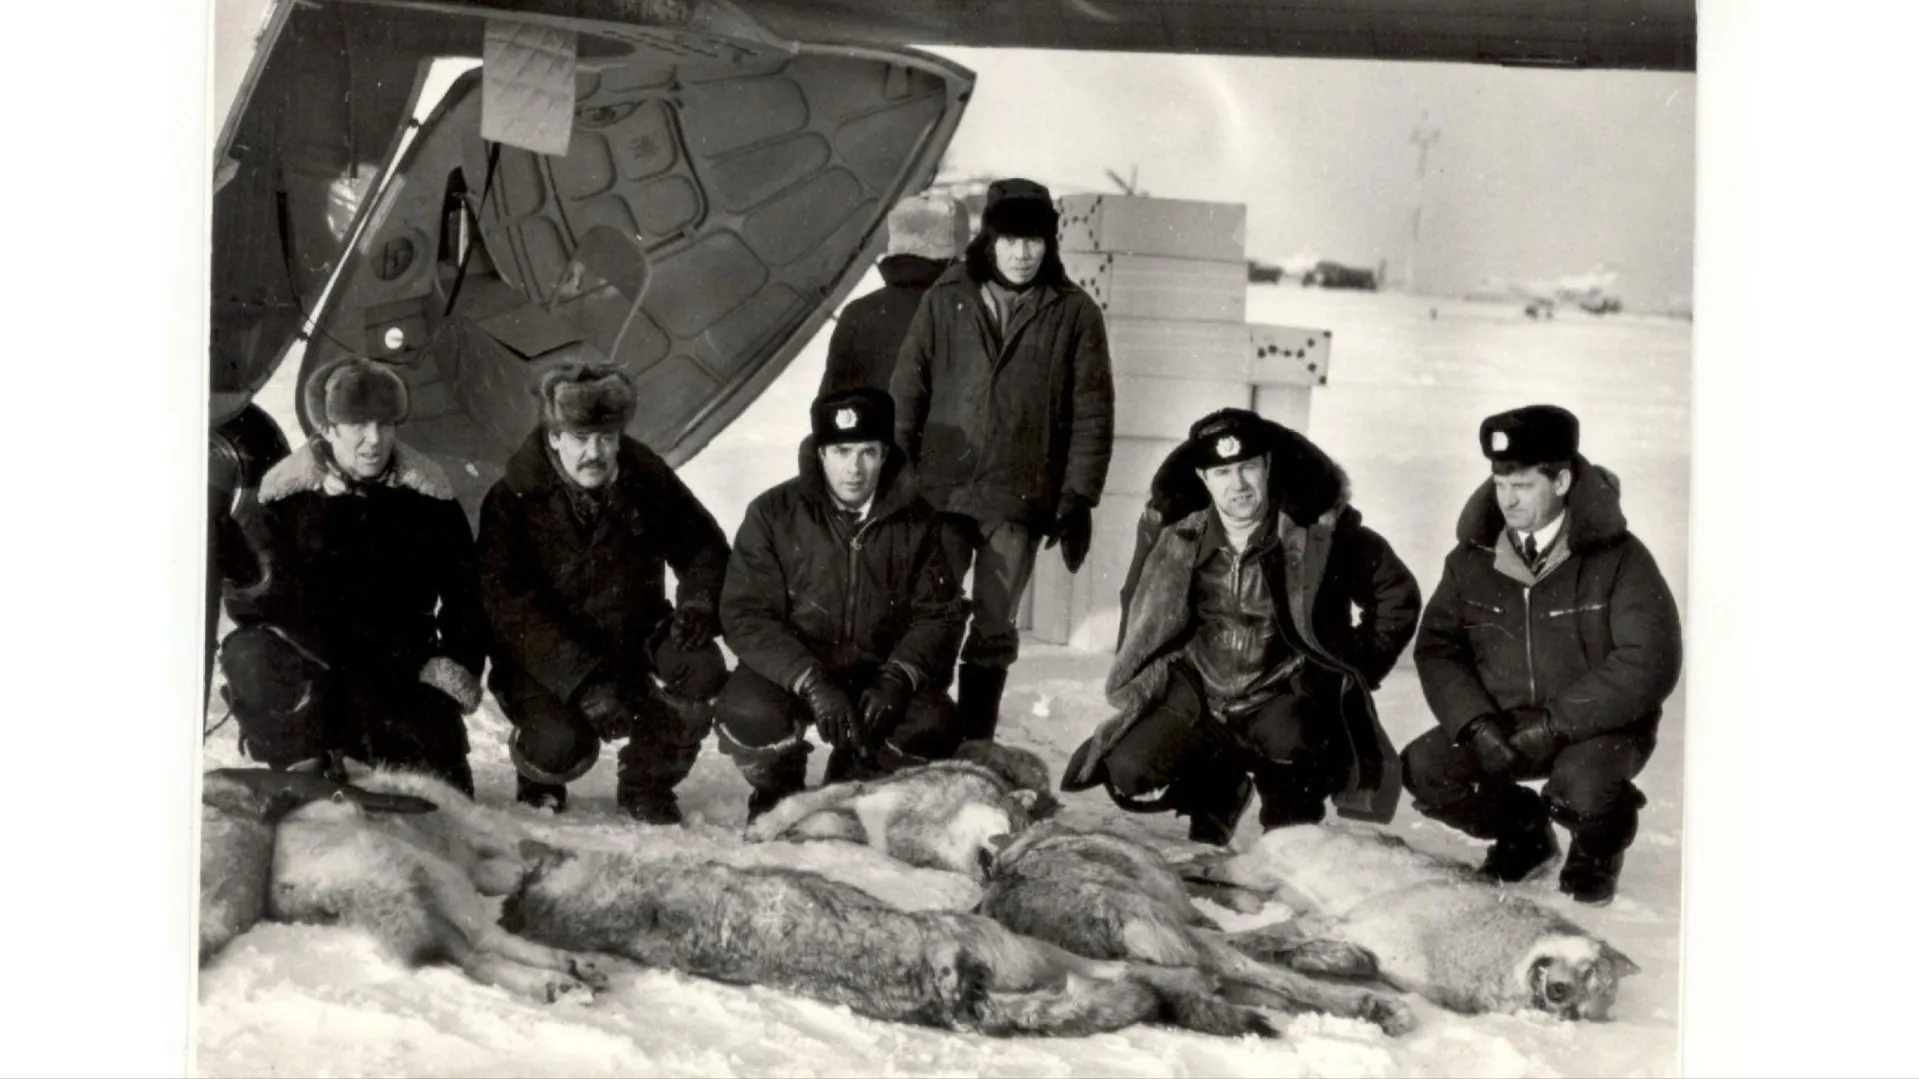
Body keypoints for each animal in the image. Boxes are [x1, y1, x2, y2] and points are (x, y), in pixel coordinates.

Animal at [262, 756, 617, 998]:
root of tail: (310, 890)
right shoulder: (479, 835)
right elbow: (521, 849)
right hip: (436, 875)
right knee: (487, 939)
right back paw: (566, 969)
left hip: (421, 903)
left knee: (475, 958)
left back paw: (560, 982)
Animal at [736, 733, 1066, 879]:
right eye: (1009, 830)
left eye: (1024, 853)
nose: (998, 876)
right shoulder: (858, 792)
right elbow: (798, 803)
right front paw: (764, 828)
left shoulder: (862, 826)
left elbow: (822, 822)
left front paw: (792, 833)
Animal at [982, 814, 1420, 1036]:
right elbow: (1258, 944)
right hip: (1183, 943)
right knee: (1262, 974)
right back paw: (1375, 1003)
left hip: (1170, 960)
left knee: (1247, 983)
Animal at [1174, 821, 1642, 1013]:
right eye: (1587, 967)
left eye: (1580, 1007)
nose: (1560, 995)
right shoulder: (1341, 923)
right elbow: (1262, 939)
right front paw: (1231, 945)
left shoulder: (1363, 948)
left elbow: (1348, 960)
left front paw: (1305, 959)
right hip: (1247, 871)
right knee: (1196, 865)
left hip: (1259, 883)